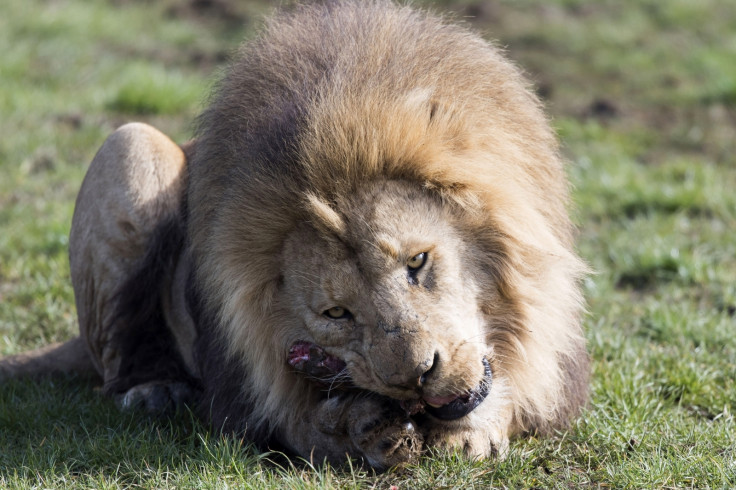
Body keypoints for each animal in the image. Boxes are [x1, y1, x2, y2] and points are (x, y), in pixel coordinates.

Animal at [0, 0, 588, 468]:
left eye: (418, 262)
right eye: (336, 313)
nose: (416, 378)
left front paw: (471, 432)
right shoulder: (244, 397)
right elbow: (297, 425)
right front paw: (356, 429)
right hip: (131, 143)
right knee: (117, 362)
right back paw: (154, 390)